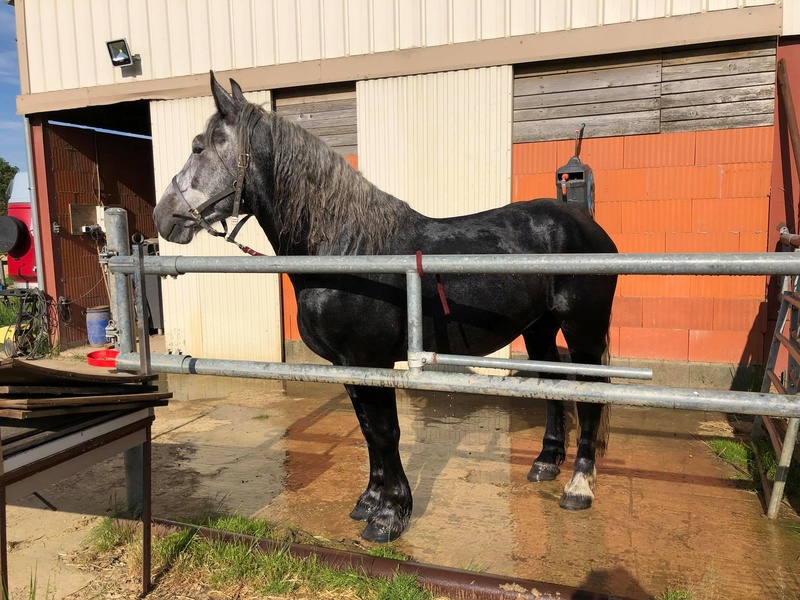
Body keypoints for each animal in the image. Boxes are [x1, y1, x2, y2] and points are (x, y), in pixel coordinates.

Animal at [155, 71, 620, 544]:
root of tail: (587, 225)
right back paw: (545, 463)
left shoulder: (370, 358)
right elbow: (367, 429)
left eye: (199, 146)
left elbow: (384, 430)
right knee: (554, 383)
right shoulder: (348, 364)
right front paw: (369, 502)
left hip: (582, 328)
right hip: (539, 327)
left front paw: (390, 515)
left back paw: (579, 486)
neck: (348, 251)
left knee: (590, 394)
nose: (164, 217)